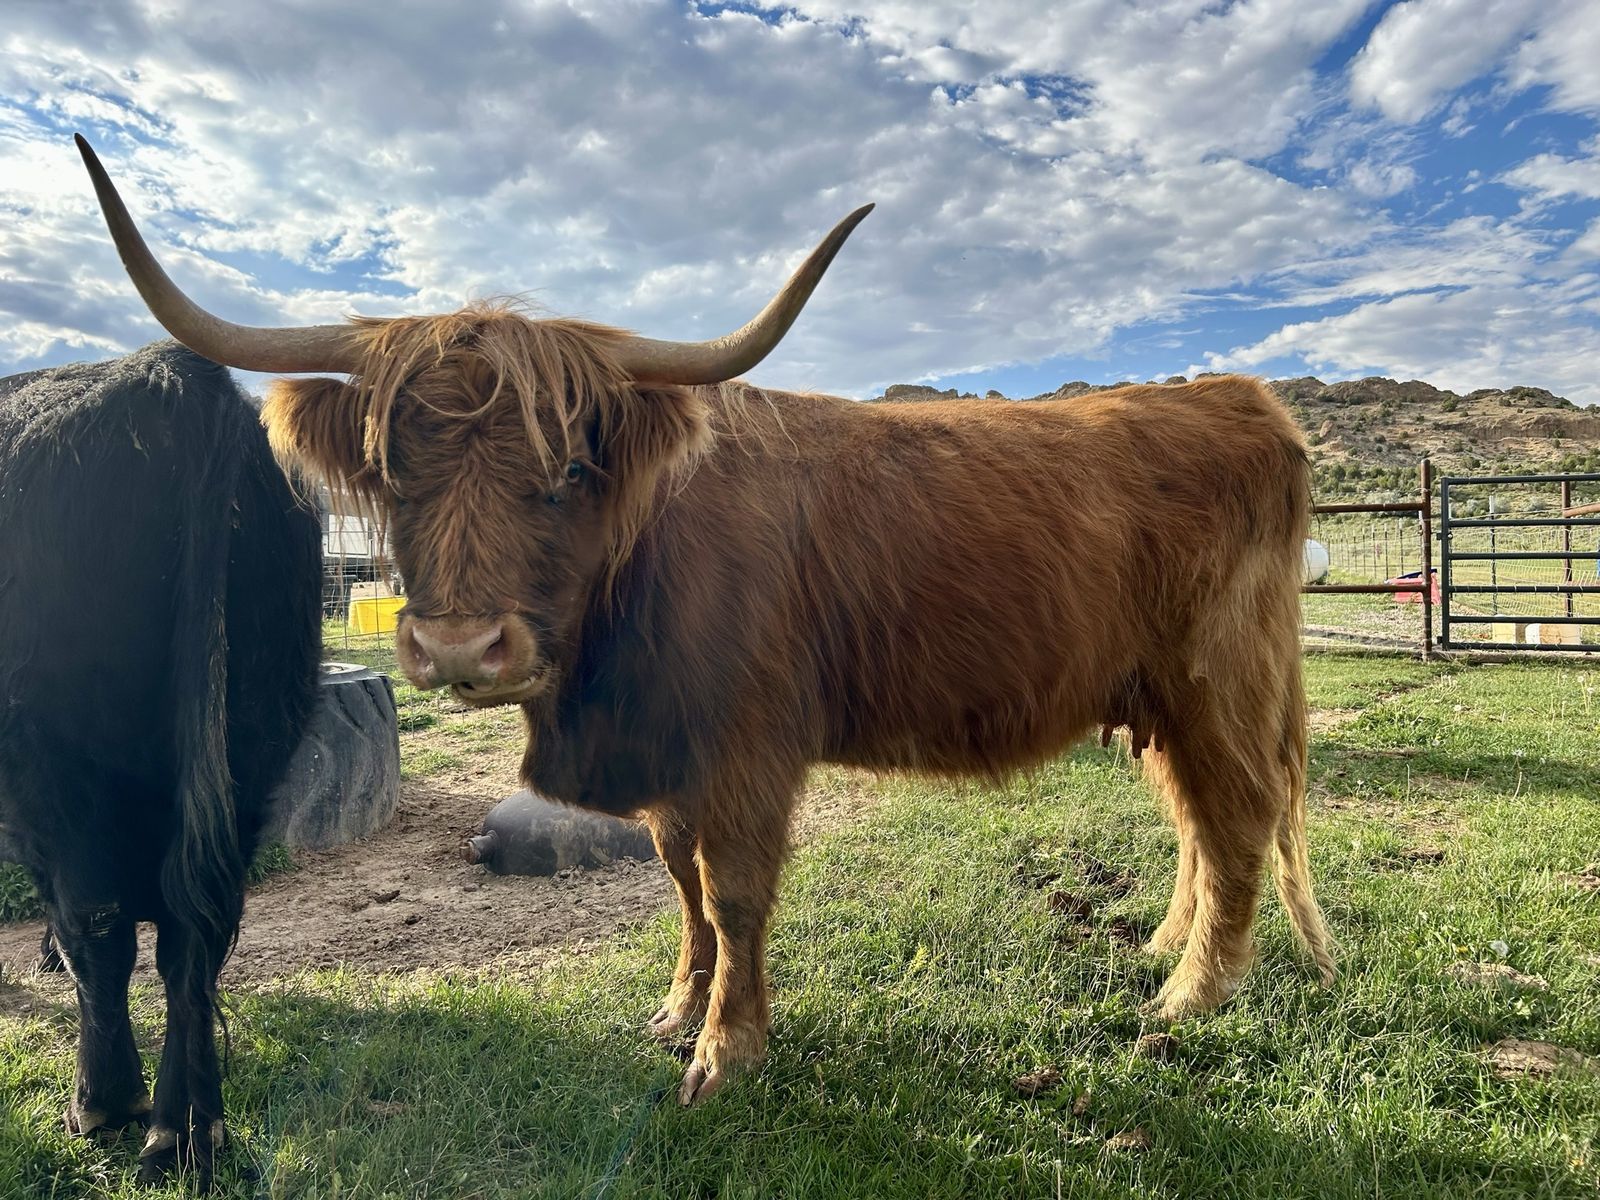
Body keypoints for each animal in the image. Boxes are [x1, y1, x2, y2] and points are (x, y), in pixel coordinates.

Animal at [0, 341, 321, 1187]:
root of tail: (168, 370)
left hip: (57, 771)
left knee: (99, 929)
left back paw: (109, 1107)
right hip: (249, 750)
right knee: (192, 938)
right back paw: (189, 1131)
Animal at [77, 134, 1334, 1108]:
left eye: (570, 468)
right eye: (390, 473)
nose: (459, 649)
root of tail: (1242, 402)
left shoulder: (745, 751)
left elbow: (732, 895)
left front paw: (729, 1052)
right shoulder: (671, 762)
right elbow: (677, 880)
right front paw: (679, 1010)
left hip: (1217, 681)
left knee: (1234, 821)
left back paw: (1187, 998)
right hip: (1158, 696)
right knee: (1194, 820)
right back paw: (1166, 949)